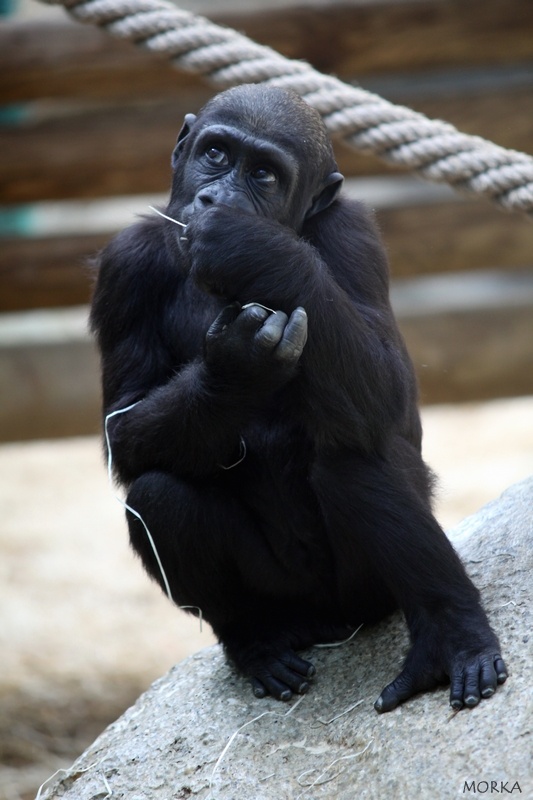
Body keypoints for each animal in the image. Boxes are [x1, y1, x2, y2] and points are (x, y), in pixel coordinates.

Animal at [89, 86, 504, 712]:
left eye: (264, 173)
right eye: (215, 153)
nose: (216, 198)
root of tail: (326, 624)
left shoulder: (352, 231)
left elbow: (388, 392)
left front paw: (255, 250)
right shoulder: (124, 265)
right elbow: (125, 425)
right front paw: (234, 373)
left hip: (363, 598)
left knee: (356, 458)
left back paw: (451, 634)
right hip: (286, 598)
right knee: (160, 496)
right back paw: (256, 639)